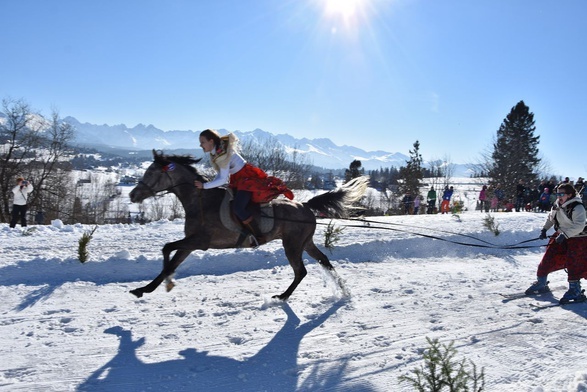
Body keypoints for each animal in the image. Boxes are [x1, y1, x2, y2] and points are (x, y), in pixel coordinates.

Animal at [129, 150, 370, 300]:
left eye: (151, 173)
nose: (133, 195)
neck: (201, 201)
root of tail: (305, 205)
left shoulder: (199, 241)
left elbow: (167, 249)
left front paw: (161, 284)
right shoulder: (190, 243)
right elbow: (171, 260)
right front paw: (145, 288)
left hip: (292, 245)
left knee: (301, 271)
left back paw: (283, 296)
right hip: (305, 242)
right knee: (324, 261)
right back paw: (344, 291)